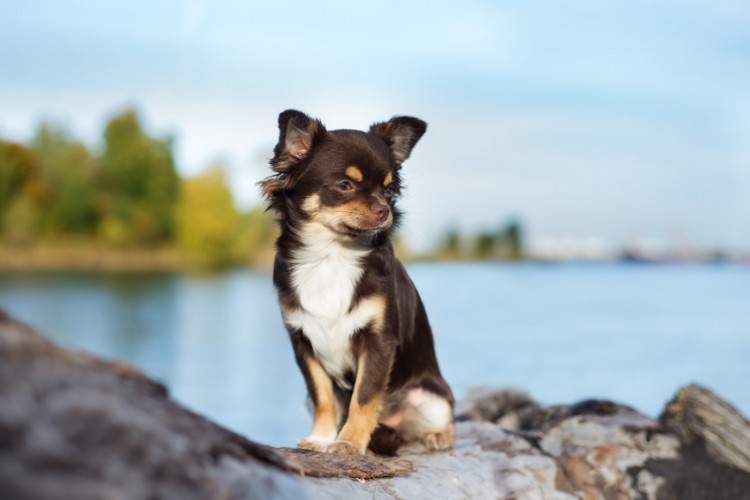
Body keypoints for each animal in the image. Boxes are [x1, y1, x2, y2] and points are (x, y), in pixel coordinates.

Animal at [262, 110, 456, 458]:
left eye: (390, 191)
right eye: (345, 185)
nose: (385, 209)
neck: (333, 255)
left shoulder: (378, 341)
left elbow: (364, 397)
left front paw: (349, 441)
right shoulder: (303, 343)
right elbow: (323, 396)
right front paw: (323, 438)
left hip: (432, 399)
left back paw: (437, 435)